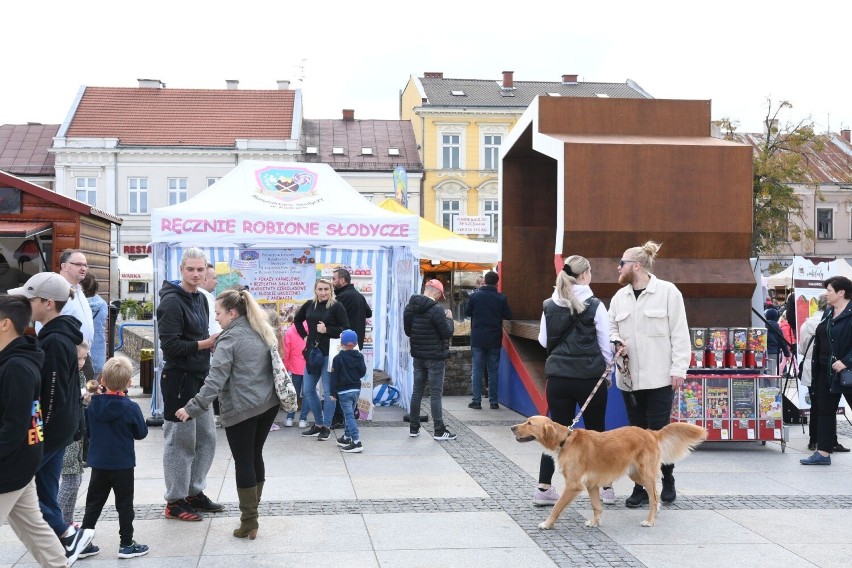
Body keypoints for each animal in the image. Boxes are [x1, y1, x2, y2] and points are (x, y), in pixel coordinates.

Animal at [512, 414, 704, 532]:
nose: (513, 427)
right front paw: (595, 522)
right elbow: (596, 506)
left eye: (529, 423)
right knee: (655, 495)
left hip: (645, 475)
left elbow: (557, 506)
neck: (565, 441)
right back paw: (655, 513)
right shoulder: (591, 485)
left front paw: (547, 524)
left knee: (654, 498)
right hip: (636, 474)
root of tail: (650, 433)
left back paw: (650, 520)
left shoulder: (573, 486)